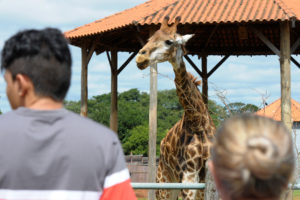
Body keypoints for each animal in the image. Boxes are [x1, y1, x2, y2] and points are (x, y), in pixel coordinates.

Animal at [136, 16, 216, 199]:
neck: (198, 121)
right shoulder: (188, 176)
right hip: (164, 184)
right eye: (150, 39)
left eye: (169, 41)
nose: (140, 59)